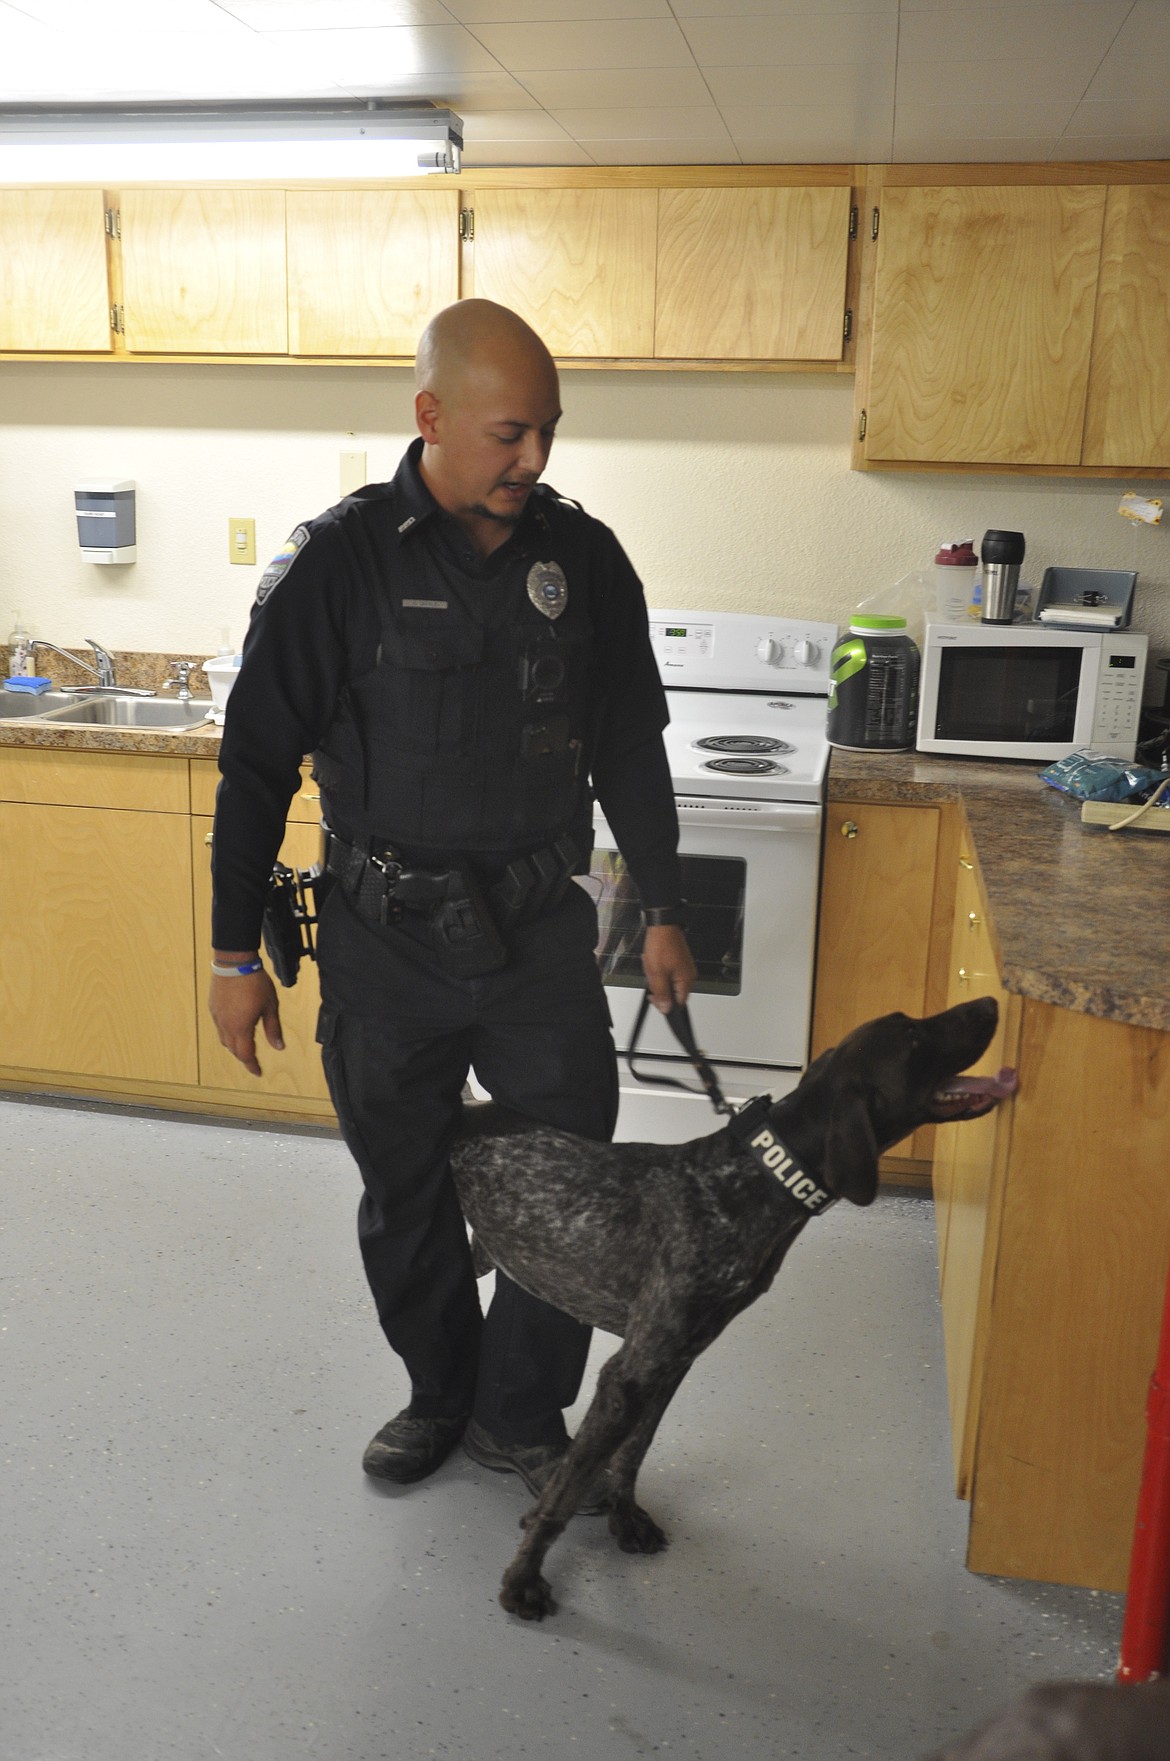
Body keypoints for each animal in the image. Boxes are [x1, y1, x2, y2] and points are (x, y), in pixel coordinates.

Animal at [451, 1000, 1021, 1613]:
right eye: (913, 1036)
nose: (991, 1003)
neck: (750, 1183)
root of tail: (467, 1109)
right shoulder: (629, 1376)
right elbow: (566, 1491)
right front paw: (524, 1578)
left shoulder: (673, 1363)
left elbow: (632, 1454)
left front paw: (625, 1520)